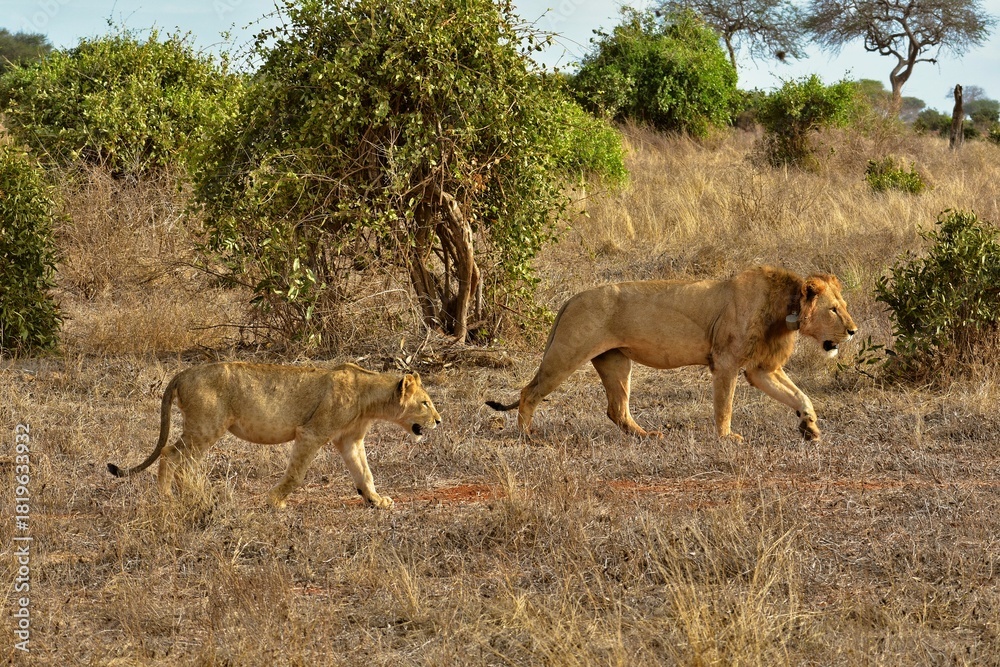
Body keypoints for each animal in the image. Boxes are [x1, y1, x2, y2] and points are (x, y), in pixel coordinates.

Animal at [107, 362, 441, 509]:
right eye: (425, 402)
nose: (439, 420)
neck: (369, 399)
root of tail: (183, 373)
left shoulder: (350, 440)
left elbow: (364, 473)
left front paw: (375, 500)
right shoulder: (310, 433)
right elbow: (295, 475)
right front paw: (274, 501)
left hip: (202, 428)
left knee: (178, 458)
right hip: (206, 427)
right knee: (171, 455)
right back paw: (176, 497)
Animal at [487, 266, 856, 441]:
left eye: (843, 307)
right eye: (834, 310)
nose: (853, 331)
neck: (786, 309)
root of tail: (571, 299)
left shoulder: (760, 368)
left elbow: (800, 395)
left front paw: (810, 428)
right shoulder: (726, 363)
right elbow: (724, 405)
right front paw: (726, 438)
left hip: (615, 361)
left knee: (616, 410)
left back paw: (646, 436)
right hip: (568, 352)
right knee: (529, 391)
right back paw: (526, 435)